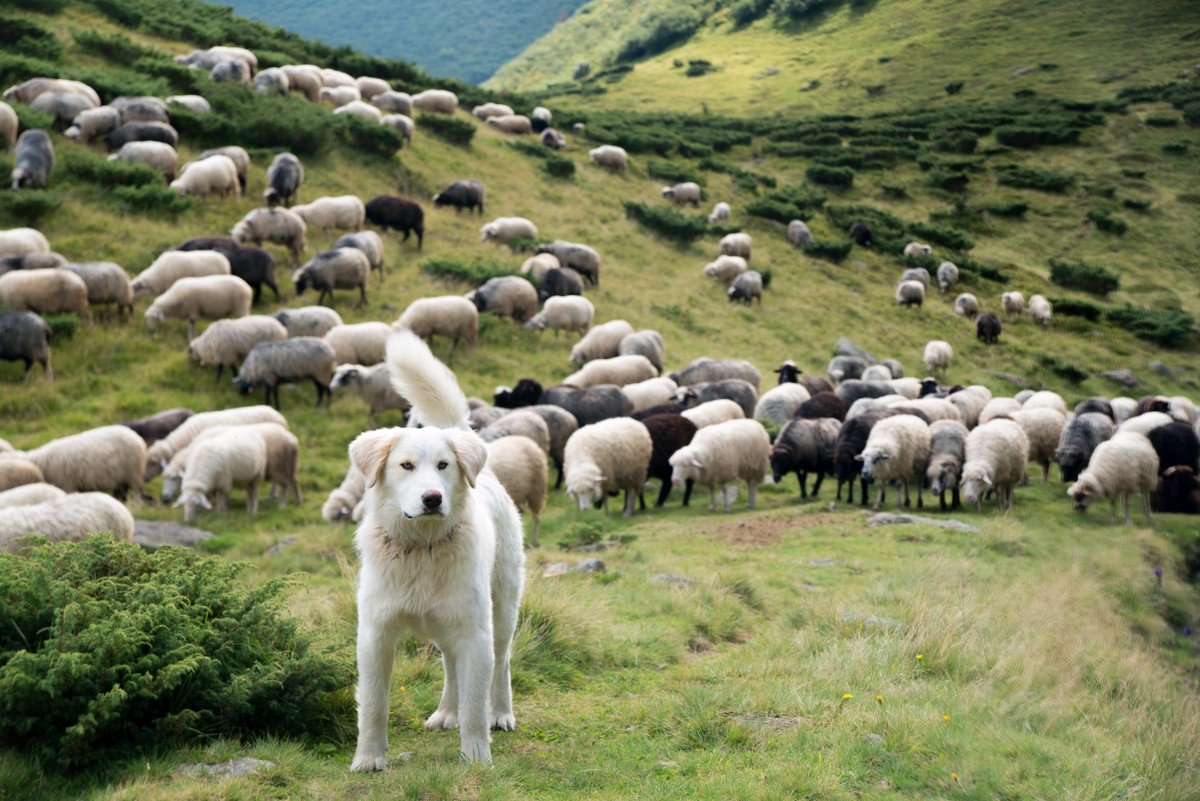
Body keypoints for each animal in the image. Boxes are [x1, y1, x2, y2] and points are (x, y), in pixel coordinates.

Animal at [348, 328, 525, 767]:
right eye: (406, 466)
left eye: (444, 465)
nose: (432, 499)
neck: (422, 549)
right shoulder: (375, 635)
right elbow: (374, 704)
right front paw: (369, 759)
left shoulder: (476, 634)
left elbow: (475, 705)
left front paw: (477, 756)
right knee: (449, 665)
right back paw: (446, 712)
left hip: (501, 611)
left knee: (502, 662)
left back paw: (501, 713)